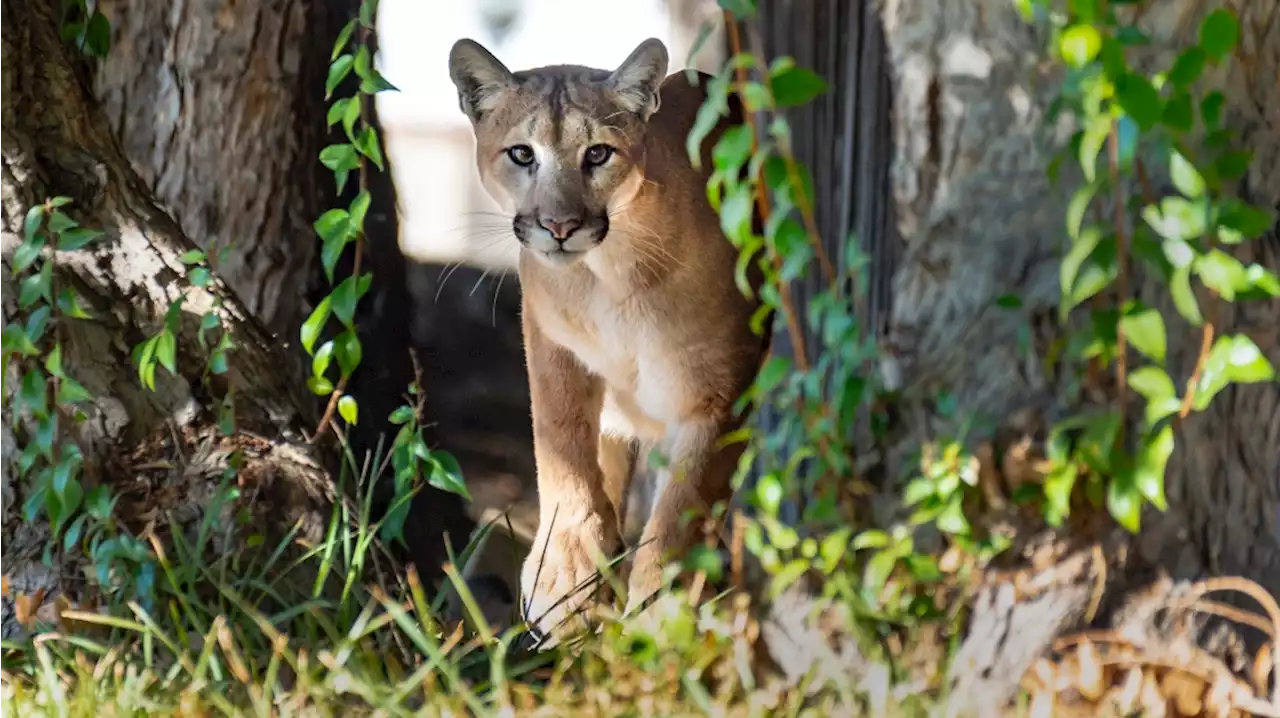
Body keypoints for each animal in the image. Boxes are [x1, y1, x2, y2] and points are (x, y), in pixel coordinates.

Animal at [450, 35, 762, 637]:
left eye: (597, 154)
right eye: (522, 154)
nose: (559, 227)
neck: (611, 275)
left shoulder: (718, 397)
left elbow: (682, 512)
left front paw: (661, 618)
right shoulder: (550, 338)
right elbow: (561, 438)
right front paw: (565, 575)